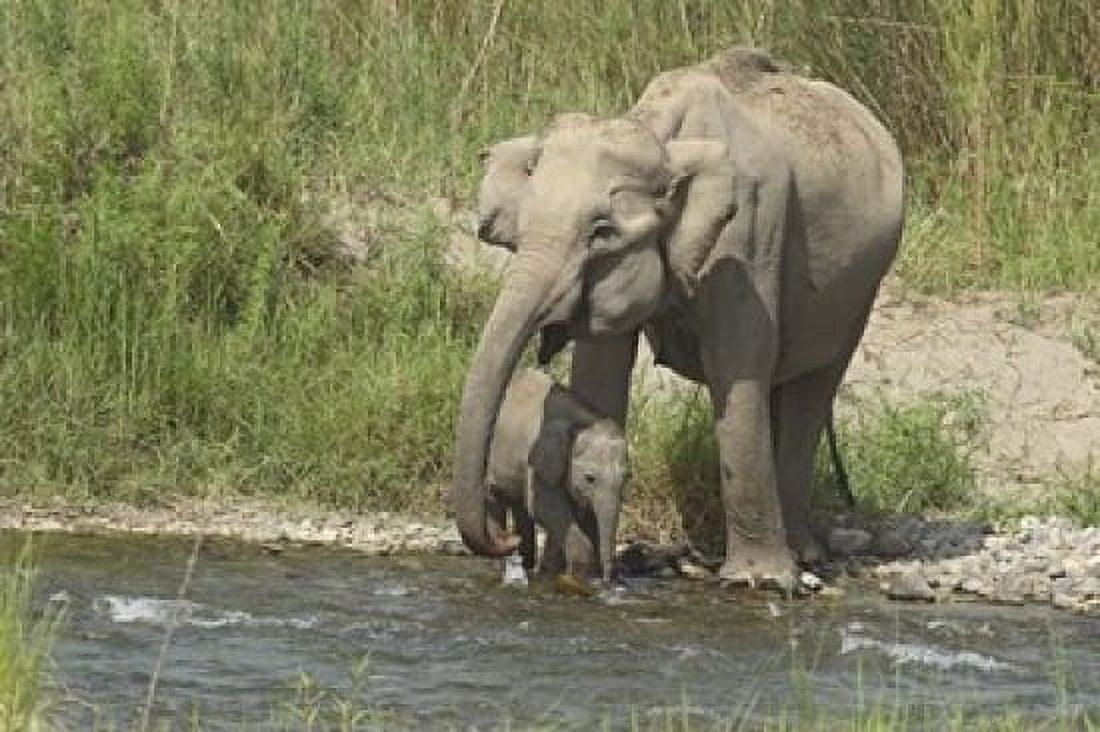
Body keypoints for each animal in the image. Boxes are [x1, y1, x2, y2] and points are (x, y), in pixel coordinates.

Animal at [487, 368, 629, 582]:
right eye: (590, 478)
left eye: (627, 478)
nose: (606, 580)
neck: (584, 421)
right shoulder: (538, 458)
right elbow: (544, 507)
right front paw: (578, 573)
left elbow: (581, 514)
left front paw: (553, 571)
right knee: (495, 499)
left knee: (521, 508)